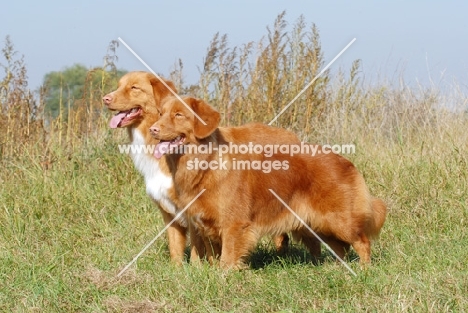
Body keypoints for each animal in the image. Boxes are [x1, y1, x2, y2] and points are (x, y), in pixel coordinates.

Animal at [150, 95, 388, 268]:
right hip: (318, 224)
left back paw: (363, 270)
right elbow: (211, 254)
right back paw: (338, 269)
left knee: (361, 242)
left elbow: (227, 258)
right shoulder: (203, 223)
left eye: (178, 115)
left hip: (338, 220)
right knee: (341, 248)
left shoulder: (233, 224)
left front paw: (223, 278)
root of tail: (345, 161)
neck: (204, 163)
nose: (153, 129)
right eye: (160, 113)